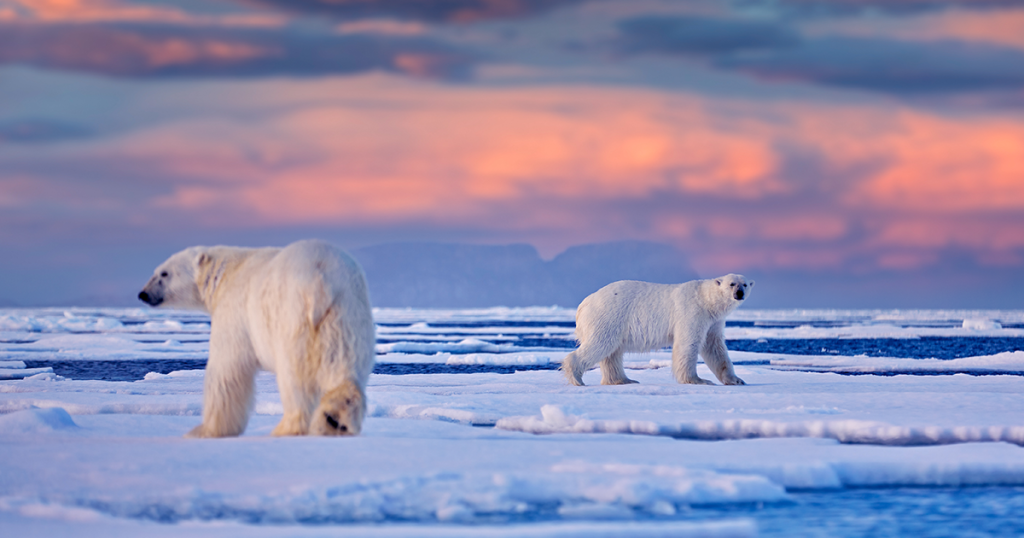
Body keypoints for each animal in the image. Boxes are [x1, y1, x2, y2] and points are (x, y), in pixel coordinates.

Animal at [138, 238, 374, 436]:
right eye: (157, 271)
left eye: (164, 273)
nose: (143, 294)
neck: (224, 273)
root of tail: (320, 279)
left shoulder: (234, 311)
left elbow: (226, 370)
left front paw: (205, 430)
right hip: (346, 314)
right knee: (343, 364)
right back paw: (335, 420)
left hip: (291, 318)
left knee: (294, 378)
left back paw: (285, 428)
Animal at [561, 272, 753, 385]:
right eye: (731, 284)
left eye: (744, 284)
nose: (739, 293)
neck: (706, 300)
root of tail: (584, 304)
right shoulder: (692, 312)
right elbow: (688, 344)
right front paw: (697, 380)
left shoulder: (713, 322)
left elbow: (715, 348)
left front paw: (736, 380)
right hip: (608, 315)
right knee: (600, 344)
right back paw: (577, 378)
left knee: (611, 353)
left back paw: (623, 380)